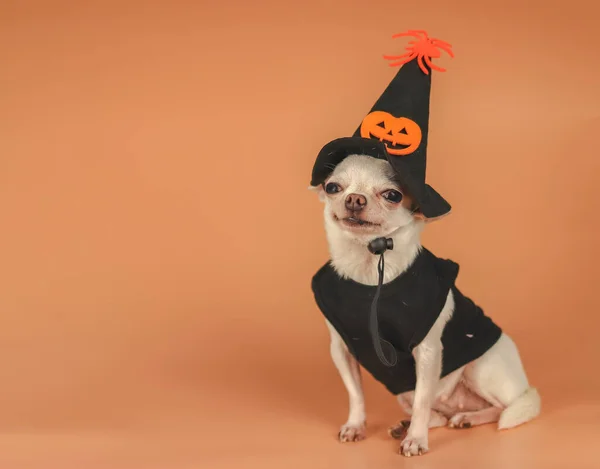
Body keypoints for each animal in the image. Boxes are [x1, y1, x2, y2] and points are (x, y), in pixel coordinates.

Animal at [312, 155, 540, 456]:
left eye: (393, 195)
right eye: (333, 187)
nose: (354, 199)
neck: (369, 264)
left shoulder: (428, 351)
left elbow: (422, 401)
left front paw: (416, 441)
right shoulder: (341, 350)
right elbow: (356, 394)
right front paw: (356, 425)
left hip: (481, 369)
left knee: (504, 408)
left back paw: (462, 419)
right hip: (405, 393)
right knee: (439, 415)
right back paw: (415, 424)